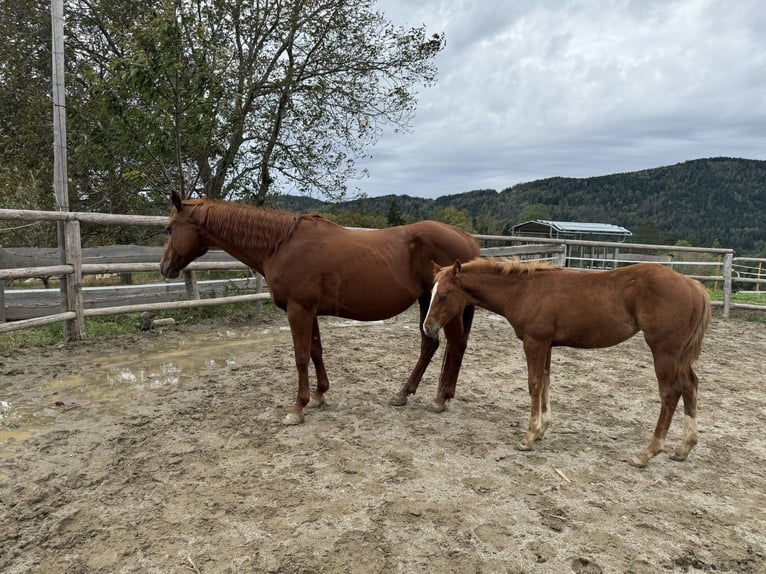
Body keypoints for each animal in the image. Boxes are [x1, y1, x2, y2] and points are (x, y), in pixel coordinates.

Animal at [158, 191, 476, 426]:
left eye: (169, 228)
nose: (164, 267)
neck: (281, 245)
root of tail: (466, 238)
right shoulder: (309, 311)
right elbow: (315, 350)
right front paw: (321, 394)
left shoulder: (298, 310)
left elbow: (300, 356)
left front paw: (298, 407)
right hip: (427, 301)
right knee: (430, 345)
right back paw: (403, 394)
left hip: (446, 308)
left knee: (456, 345)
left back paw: (441, 398)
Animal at [424, 258, 712, 466]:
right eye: (432, 292)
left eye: (444, 295)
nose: (428, 328)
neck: (524, 290)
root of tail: (694, 286)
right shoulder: (547, 345)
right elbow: (546, 384)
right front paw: (542, 430)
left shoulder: (535, 342)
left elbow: (534, 385)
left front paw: (529, 437)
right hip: (680, 355)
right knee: (691, 386)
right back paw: (683, 448)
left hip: (664, 351)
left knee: (670, 394)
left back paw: (647, 453)